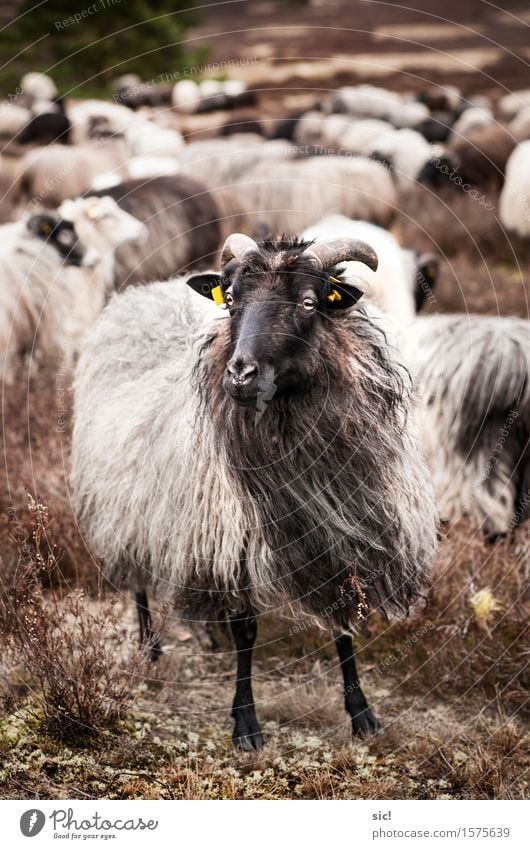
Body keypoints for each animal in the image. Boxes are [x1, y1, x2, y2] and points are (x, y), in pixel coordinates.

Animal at [72, 229, 438, 744]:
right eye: (231, 302)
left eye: (308, 302)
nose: (241, 374)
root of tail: (141, 294)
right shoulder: (233, 540)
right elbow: (247, 630)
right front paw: (245, 721)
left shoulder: (341, 534)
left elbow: (342, 626)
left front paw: (362, 713)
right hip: (124, 503)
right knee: (139, 581)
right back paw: (151, 649)